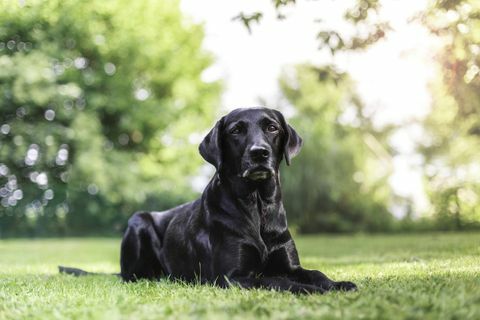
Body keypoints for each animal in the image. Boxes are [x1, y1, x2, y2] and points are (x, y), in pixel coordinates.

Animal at [61, 106, 356, 294]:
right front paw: (310, 290)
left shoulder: (289, 264)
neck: (256, 205)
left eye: (272, 128)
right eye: (236, 130)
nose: (259, 153)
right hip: (138, 221)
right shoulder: (233, 277)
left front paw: (337, 284)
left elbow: (314, 273)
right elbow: (278, 281)